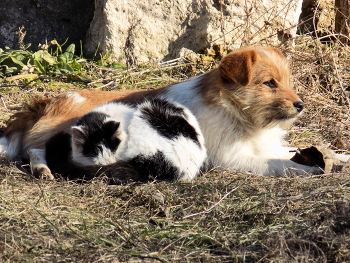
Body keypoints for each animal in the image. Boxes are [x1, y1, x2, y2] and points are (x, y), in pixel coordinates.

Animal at [0, 47, 326, 179]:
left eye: (287, 81)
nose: (300, 105)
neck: (235, 113)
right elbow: (278, 165)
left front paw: (331, 157)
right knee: (37, 151)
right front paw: (308, 170)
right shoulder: (232, 159)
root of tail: (48, 102)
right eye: (269, 83)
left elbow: (286, 154)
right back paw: (43, 170)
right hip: (68, 136)